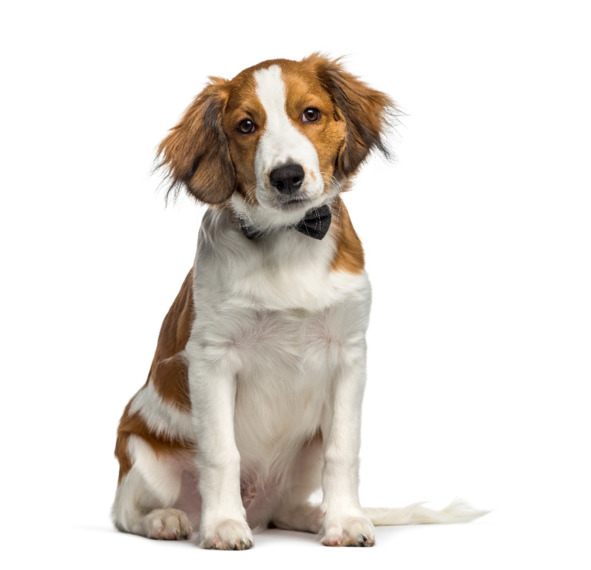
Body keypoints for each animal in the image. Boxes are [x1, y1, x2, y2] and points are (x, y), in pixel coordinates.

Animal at [112, 54, 483, 549]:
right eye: (246, 125)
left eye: (310, 114)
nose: (286, 176)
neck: (287, 239)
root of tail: (259, 508)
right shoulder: (211, 359)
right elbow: (221, 453)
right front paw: (223, 525)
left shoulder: (348, 354)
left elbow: (344, 451)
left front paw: (345, 521)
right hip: (144, 454)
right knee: (126, 511)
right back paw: (169, 520)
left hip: (303, 456)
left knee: (287, 509)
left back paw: (316, 516)